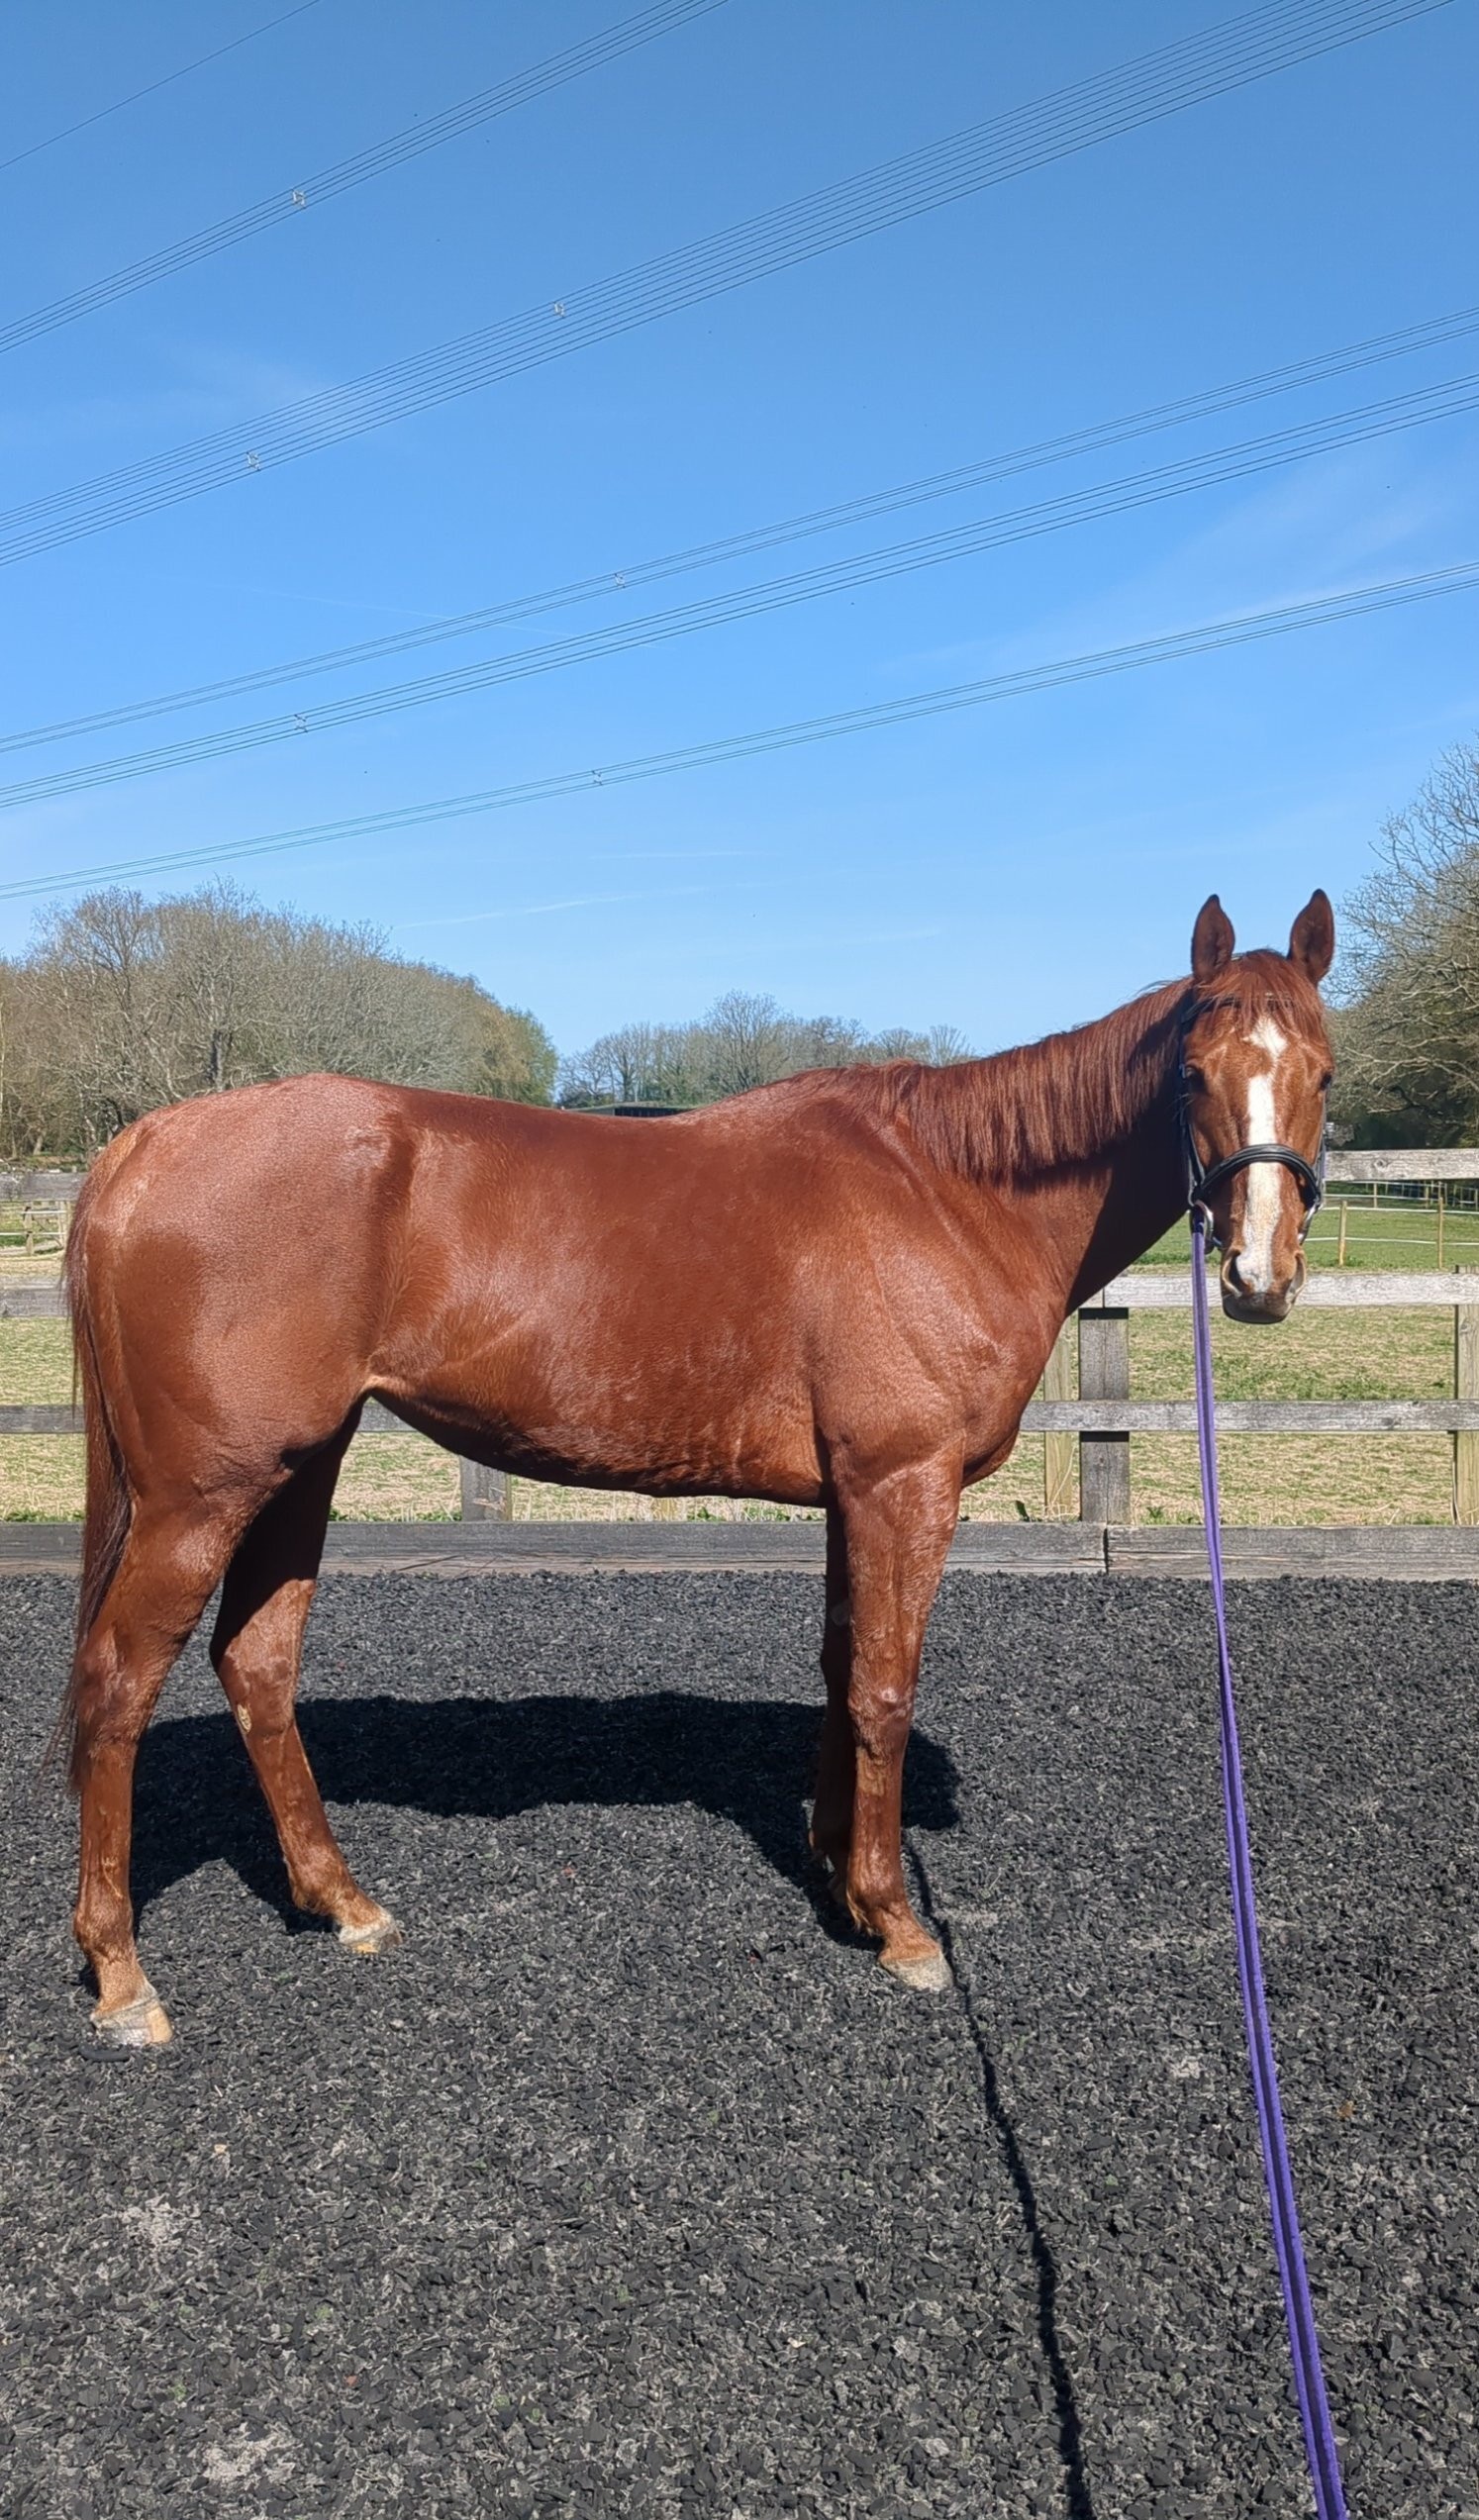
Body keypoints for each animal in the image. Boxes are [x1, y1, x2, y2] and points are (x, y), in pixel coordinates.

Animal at [59, 890, 1334, 2046]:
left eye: (1323, 1071)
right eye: (1193, 1074)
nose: (1259, 1275)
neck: (950, 1191)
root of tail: (144, 1145)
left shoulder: (854, 1495)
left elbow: (840, 1668)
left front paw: (837, 1874)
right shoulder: (903, 1485)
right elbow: (885, 1686)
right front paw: (897, 1920)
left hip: (297, 1469)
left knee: (256, 1662)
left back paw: (341, 1899)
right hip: (201, 1494)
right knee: (120, 1686)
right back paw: (122, 1978)